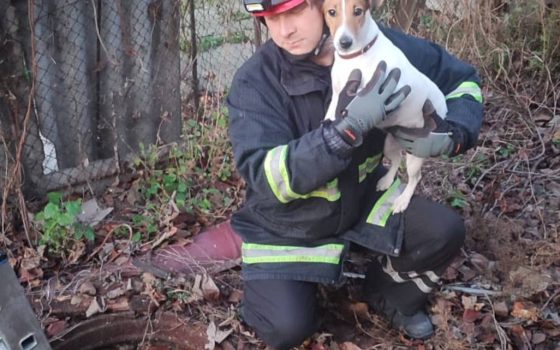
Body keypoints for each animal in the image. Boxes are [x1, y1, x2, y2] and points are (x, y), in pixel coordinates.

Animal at [322, 0, 448, 213]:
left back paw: (402, 200)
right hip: (389, 144)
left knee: (415, 177)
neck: (358, 56)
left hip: (416, 153)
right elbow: (331, 113)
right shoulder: (338, 94)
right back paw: (386, 181)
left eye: (358, 11)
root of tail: (443, 105)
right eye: (331, 12)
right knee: (396, 161)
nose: (344, 43)